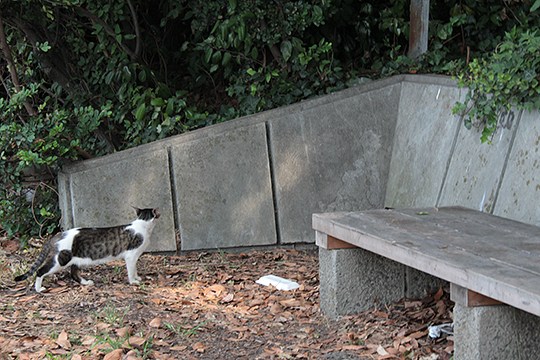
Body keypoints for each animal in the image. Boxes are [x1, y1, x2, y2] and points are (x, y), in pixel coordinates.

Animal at [14, 207, 158, 294]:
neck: (143, 225)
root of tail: (57, 235)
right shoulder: (131, 255)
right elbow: (131, 270)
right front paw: (133, 281)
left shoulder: (135, 257)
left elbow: (135, 269)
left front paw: (137, 277)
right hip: (60, 260)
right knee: (40, 271)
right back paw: (38, 289)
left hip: (75, 260)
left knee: (73, 274)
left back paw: (86, 283)